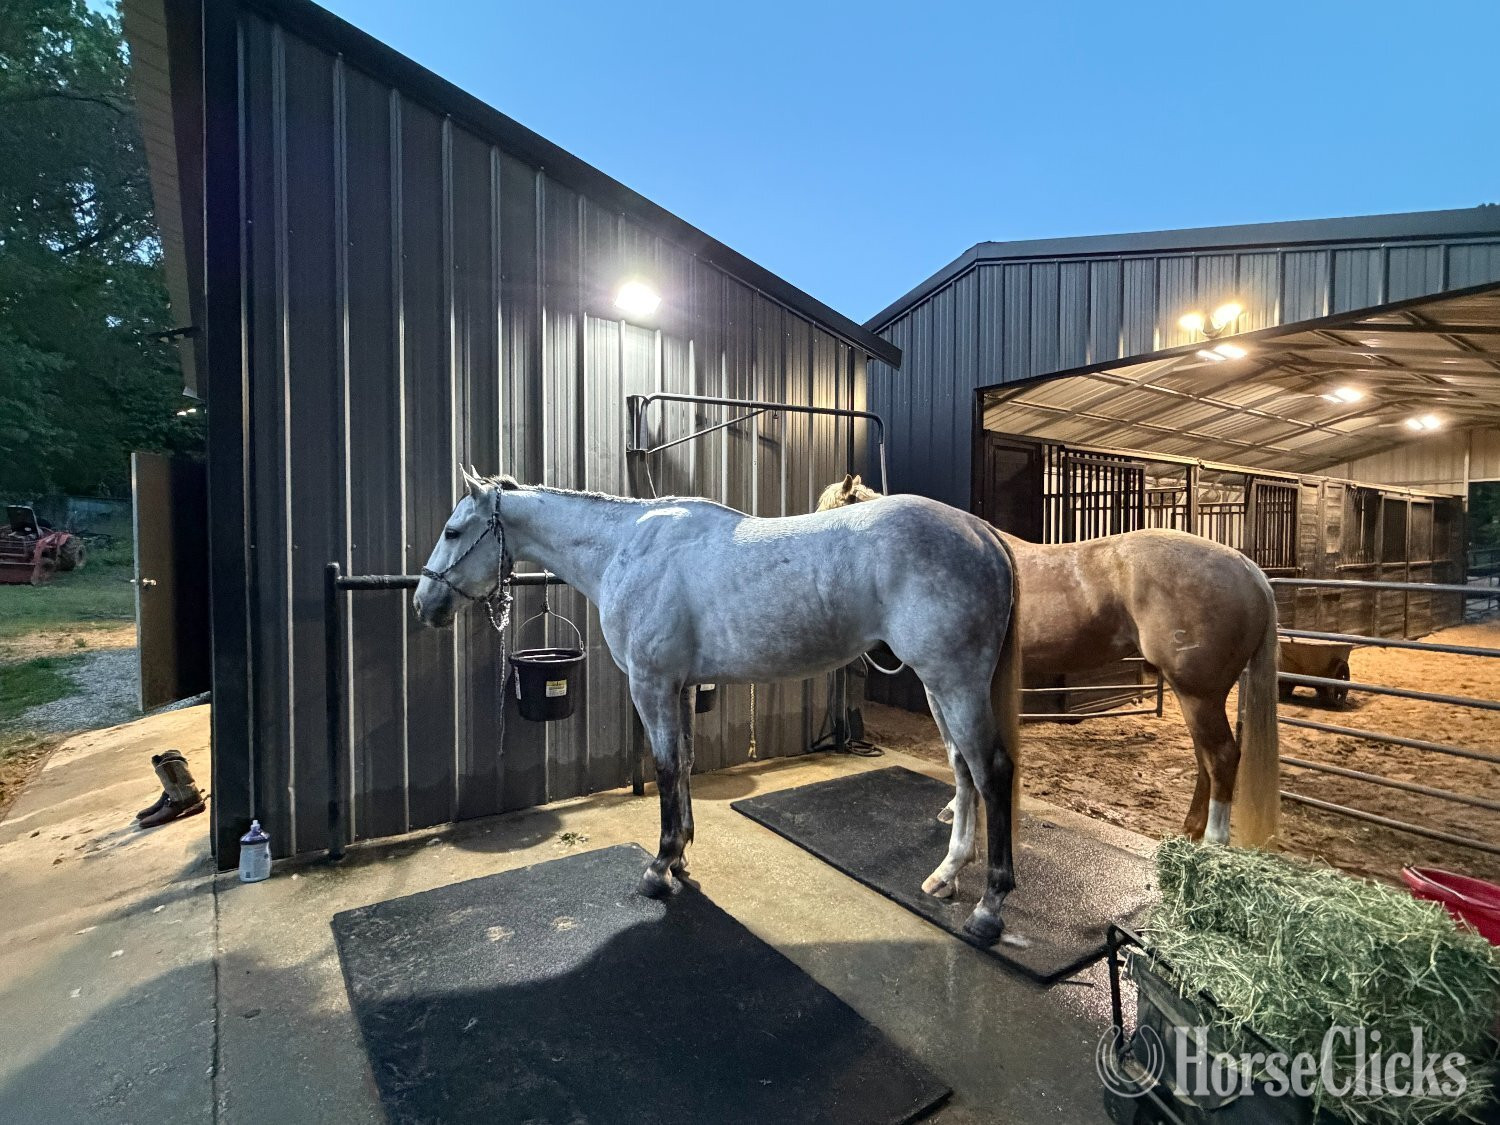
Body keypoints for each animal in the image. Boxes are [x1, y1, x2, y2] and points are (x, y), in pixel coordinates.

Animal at [415, 470, 1024, 942]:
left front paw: (659, 867)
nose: (424, 603)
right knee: (963, 769)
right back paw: (946, 875)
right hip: (941, 685)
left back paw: (989, 909)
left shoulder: (652, 685)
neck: (625, 550)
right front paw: (682, 855)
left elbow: (664, 770)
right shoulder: (681, 688)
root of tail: (982, 532)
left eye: (452, 530)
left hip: (954, 680)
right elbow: (684, 765)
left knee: (990, 772)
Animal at [817, 475, 1280, 847]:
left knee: (1221, 758)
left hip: (1198, 692)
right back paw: (1188, 833)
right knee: (1206, 760)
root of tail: (1247, 567)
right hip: (1198, 695)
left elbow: (960, 749)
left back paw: (1213, 843)